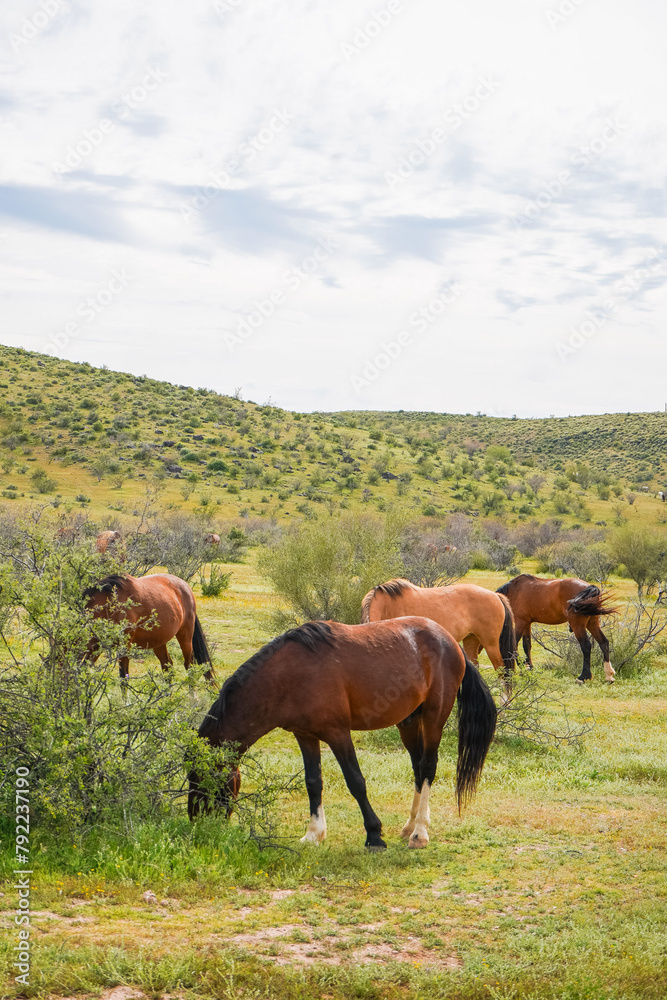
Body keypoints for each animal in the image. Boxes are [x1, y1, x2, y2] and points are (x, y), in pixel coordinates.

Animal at [83, 576, 214, 684]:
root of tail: (185, 586)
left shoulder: (124, 646)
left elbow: (123, 678)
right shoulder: (96, 647)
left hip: (185, 636)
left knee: (189, 665)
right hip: (159, 642)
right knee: (167, 667)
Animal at [188, 616, 496, 852]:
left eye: (202, 778)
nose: (197, 821)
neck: (290, 676)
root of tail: (451, 642)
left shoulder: (337, 734)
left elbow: (356, 782)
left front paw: (374, 835)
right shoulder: (305, 735)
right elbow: (313, 782)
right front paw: (313, 834)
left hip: (433, 719)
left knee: (429, 767)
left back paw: (419, 834)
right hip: (408, 723)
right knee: (419, 768)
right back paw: (409, 825)